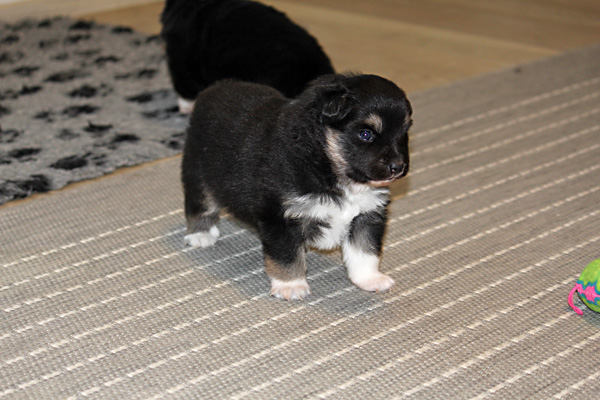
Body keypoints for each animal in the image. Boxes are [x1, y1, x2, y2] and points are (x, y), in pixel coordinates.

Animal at [181, 73, 412, 300]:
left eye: (404, 132)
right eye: (366, 134)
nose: (398, 167)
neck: (325, 165)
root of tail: (217, 87)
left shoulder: (367, 215)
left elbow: (365, 251)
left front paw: (370, 279)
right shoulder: (280, 216)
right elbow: (287, 256)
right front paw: (290, 286)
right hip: (198, 171)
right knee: (199, 204)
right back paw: (201, 235)